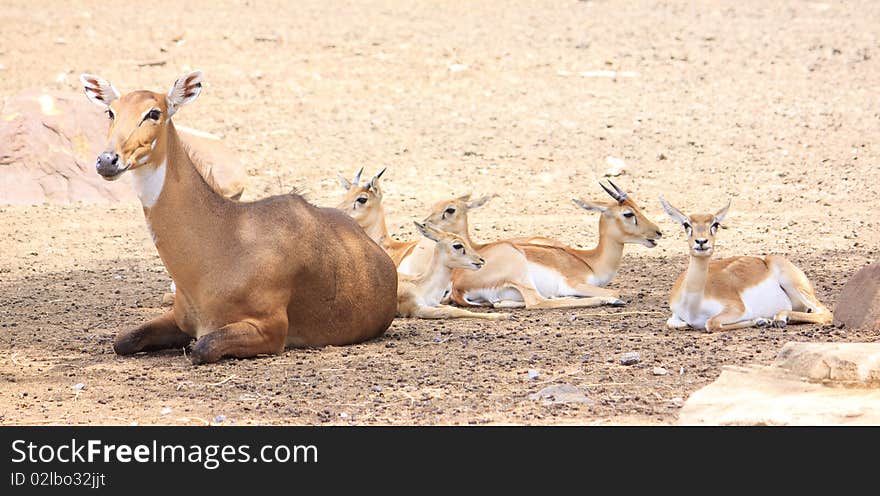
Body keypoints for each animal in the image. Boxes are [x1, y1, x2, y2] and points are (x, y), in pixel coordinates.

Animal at [81, 70, 398, 364]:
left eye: (153, 112)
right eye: (111, 111)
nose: (108, 160)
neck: (224, 239)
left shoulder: (270, 328)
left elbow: (202, 347)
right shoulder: (180, 318)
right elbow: (123, 340)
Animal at [440, 180, 660, 308]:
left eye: (638, 207)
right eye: (628, 214)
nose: (658, 232)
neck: (591, 261)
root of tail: (458, 284)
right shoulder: (574, 283)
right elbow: (614, 290)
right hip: (520, 270)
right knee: (536, 302)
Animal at [660, 198, 832, 334]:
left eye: (715, 224)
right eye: (686, 224)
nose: (701, 241)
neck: (693, 304)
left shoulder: (737, 308)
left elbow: (711, 323)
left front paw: (761, 321)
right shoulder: (675, 315)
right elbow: (674, 323)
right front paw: (761, 321)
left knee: (826, 313)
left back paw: (780, 318)